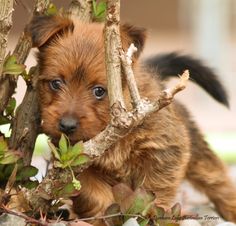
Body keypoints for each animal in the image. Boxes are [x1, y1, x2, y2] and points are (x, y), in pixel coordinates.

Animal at [26, 15, 236, 223]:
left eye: (99, 91)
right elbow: (95, 195)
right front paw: (104, 216)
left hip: (199, 157)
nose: (66, 126)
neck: (111, 130)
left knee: (219, 182)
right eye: (56, 83)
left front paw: (149, 215)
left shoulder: (163, 153)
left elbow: (154, 192)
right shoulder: (77, 165)